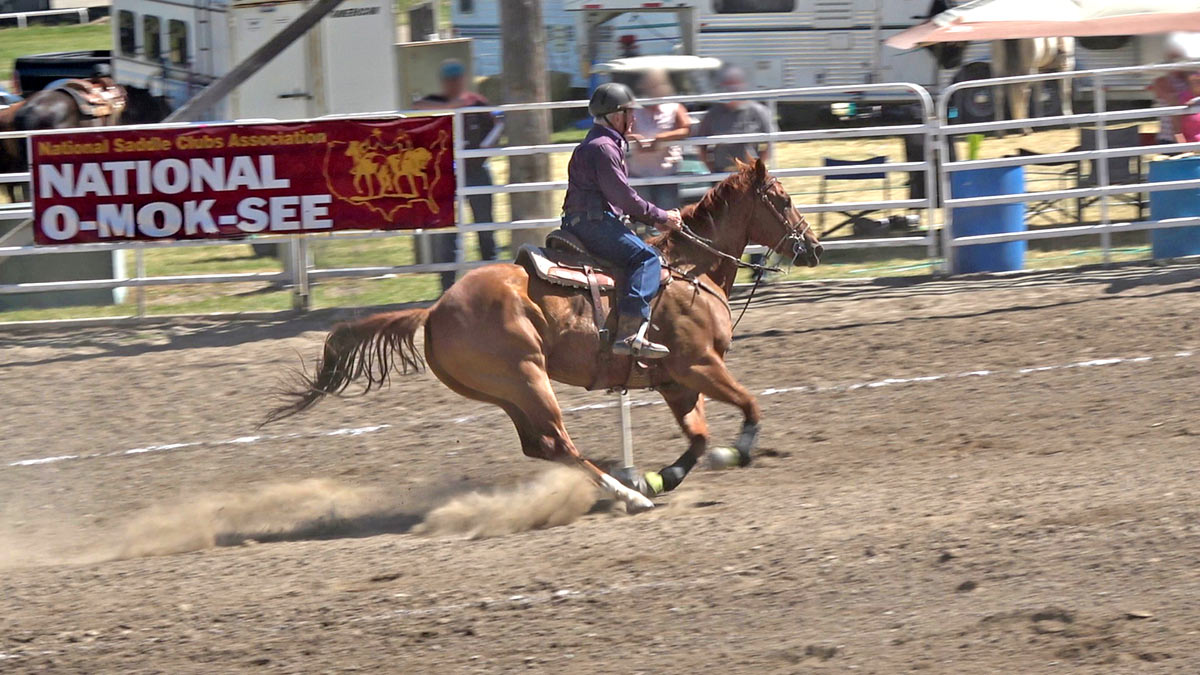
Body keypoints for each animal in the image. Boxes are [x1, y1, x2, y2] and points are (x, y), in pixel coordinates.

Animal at [266, 158, 820, 509]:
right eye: (783, 198)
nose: (813, 247)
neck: (689, 270)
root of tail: (436, 308)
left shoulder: (675, 382)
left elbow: (699, 438)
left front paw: (664, 476)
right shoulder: (699, 365)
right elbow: (749, 406)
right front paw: (736, 451)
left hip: (505, 391)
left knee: (542, 447)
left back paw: (629, 485)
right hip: (529, 378)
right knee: (559, 442)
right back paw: (627, 495)